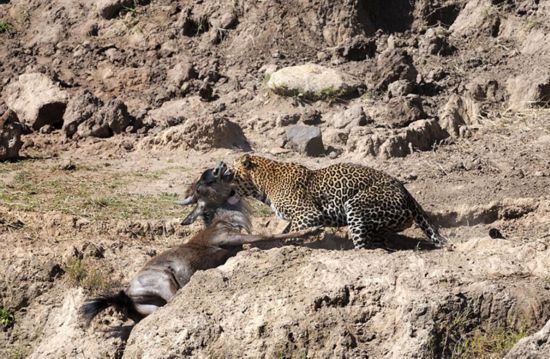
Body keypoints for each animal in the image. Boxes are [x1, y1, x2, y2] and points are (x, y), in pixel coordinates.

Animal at [229, 153, 448, 249]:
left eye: (229, 173)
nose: (221, 173)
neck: (264, 182)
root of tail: (406, 191)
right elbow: (286, 229)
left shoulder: (307, 213)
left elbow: (293, 232)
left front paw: (289, 242)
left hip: (356, 205)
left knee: (365, 246)